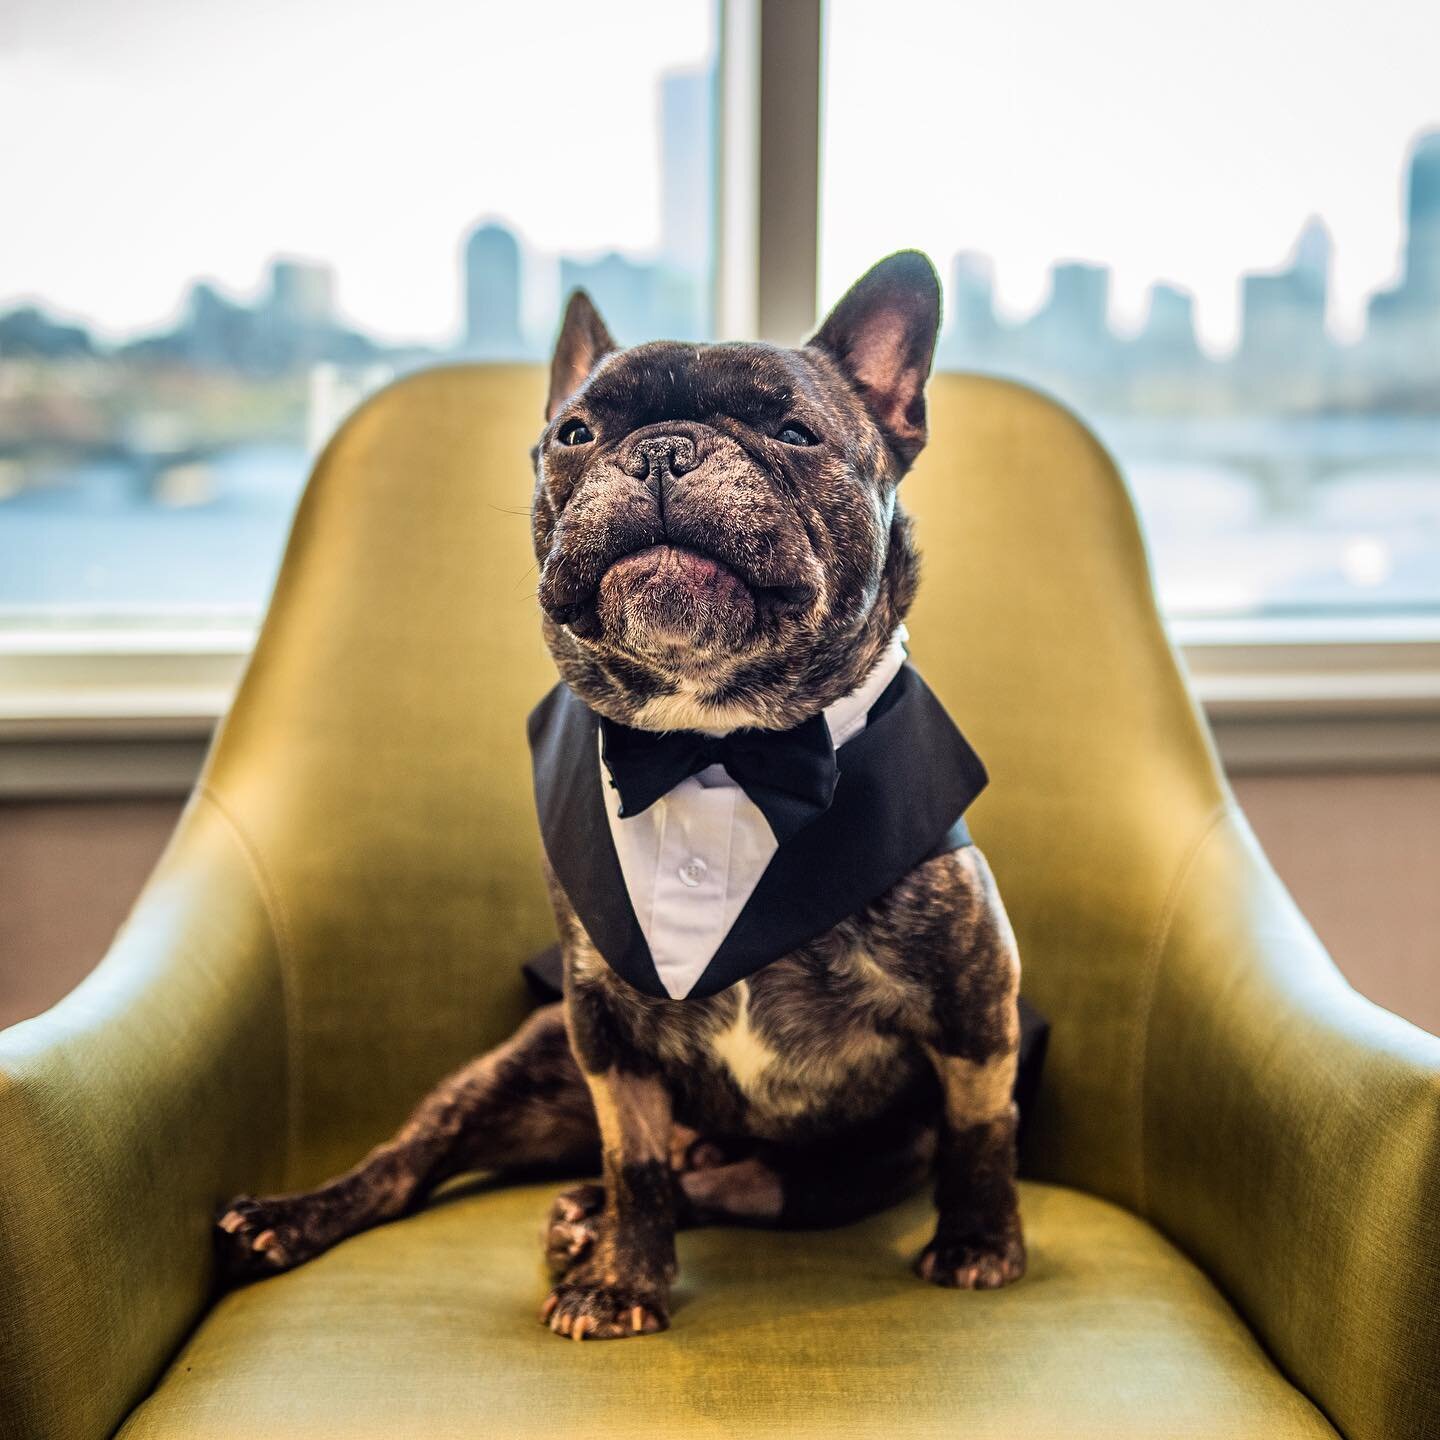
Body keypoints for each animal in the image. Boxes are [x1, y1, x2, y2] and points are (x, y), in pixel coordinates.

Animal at [213, 247, 1025, 1336]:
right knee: (418, 1155)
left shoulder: (974, 1002)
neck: (715, 746)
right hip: (527, 1063)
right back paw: (306, 1217)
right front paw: (623, 1283)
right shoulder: (606, 1034)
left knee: (730, 1183)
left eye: (795, 432)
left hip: (826, 1174)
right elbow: (631, 1158)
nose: (664, 452)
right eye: (576, 433)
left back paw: (592, 1213)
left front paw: (978, 1242)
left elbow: (982, 1128)